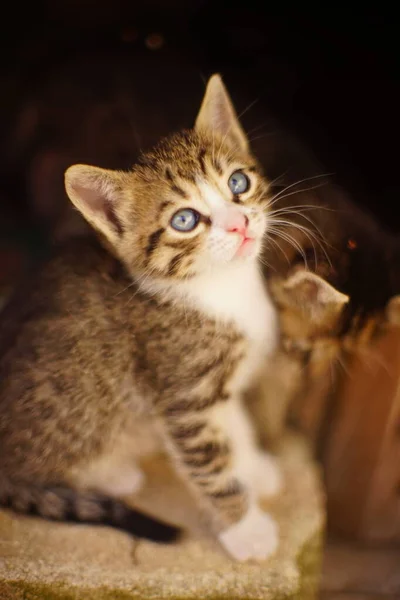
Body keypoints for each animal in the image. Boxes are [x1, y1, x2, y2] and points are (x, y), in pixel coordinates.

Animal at [0, 74, 282, 564]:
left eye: (238, 182)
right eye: (185, 219)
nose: (239, 224)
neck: (222, 290)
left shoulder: (221, 386)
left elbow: (237, 426)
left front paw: (254, 468)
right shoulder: (185, 397)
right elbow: (212, 465)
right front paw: (245, 529)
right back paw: (110, 473)